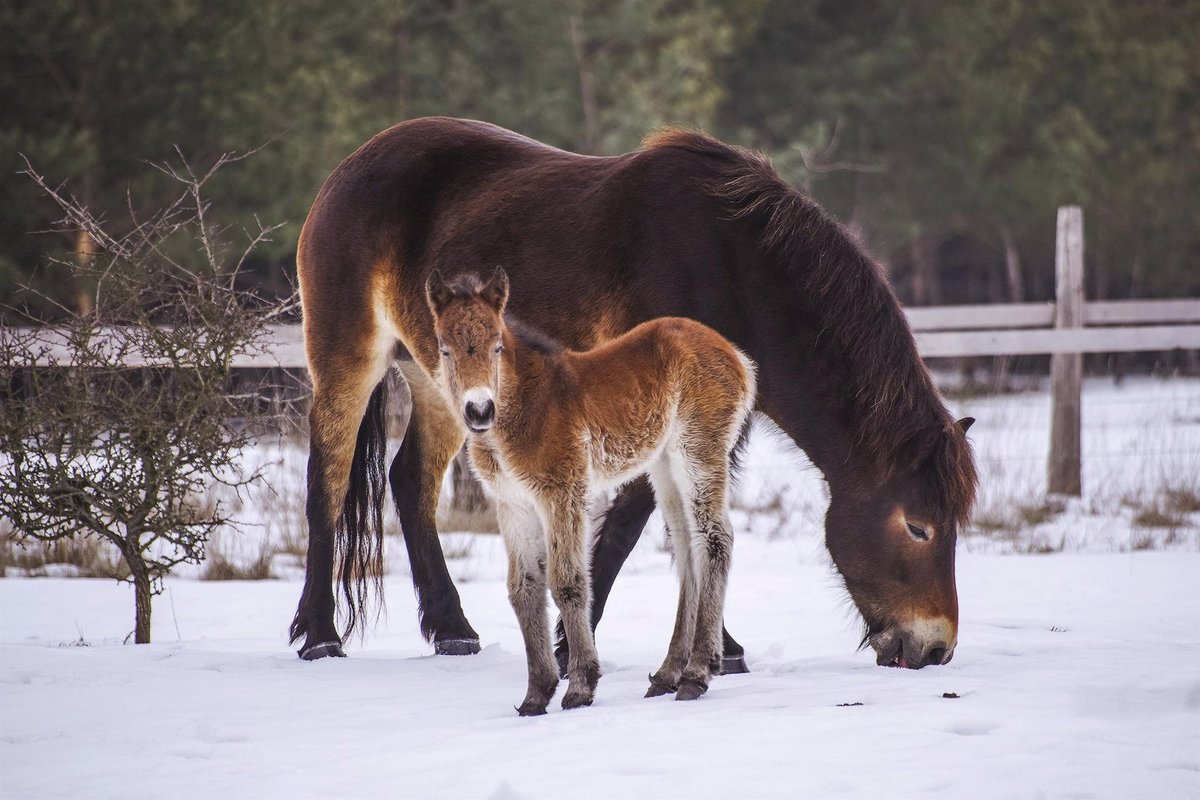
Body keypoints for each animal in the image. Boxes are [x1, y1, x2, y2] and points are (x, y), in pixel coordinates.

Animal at [427, 267, 753, 714]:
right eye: (445, 350)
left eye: (496, 347)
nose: (479, 410)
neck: (526, 405)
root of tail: (735, 355)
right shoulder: (512, 505)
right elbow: (523, 589)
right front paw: (536, 694)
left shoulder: (561, 494)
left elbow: (567, 582)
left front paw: (580, 686)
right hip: (664, 467)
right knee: (688, 550)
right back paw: (668, 674)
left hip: (699, 453)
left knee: (716, 539)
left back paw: (697, 673)